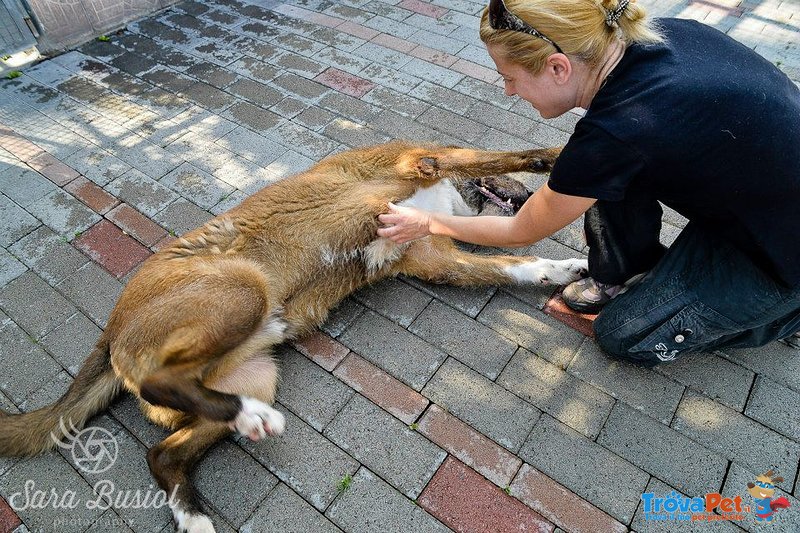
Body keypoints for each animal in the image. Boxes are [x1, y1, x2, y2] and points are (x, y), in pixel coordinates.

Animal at [1, 139, 588, 528]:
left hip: (255, 376)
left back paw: (197, 506)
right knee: (158, 383)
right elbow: (493, 153)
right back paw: (242, 425)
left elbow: (514, 266)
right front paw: (550, 156)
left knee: (164, 452)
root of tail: (111, 329)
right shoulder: (421, 161)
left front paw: (562, 269)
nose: (527, 200)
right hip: (243, 290)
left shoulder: (435, 257)